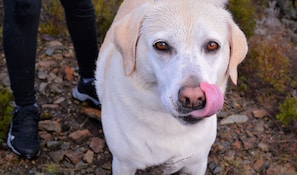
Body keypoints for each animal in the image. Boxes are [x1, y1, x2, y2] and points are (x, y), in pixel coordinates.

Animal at [94, 0, 245, 174]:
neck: (170, 128)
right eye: (161, 45)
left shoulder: (197, 164)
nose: (194, 98)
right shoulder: (123, 164)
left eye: (212, 45)